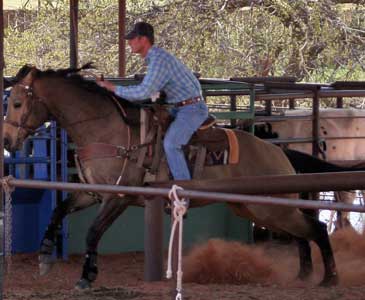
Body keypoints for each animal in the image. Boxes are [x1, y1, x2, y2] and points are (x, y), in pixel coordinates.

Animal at [3, 63, 338, 288]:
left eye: (17, 103)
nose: (7, 141)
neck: (107, 130)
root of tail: (277, 152)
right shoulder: (91, 192)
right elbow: (58, 211)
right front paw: (44, 257)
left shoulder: (119, 196)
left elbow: (93, 231)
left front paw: (87, 276)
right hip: (256, 208)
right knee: (303, 232)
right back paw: (305, 274)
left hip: (268, 208)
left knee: (317, 228)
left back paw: (329, 278)